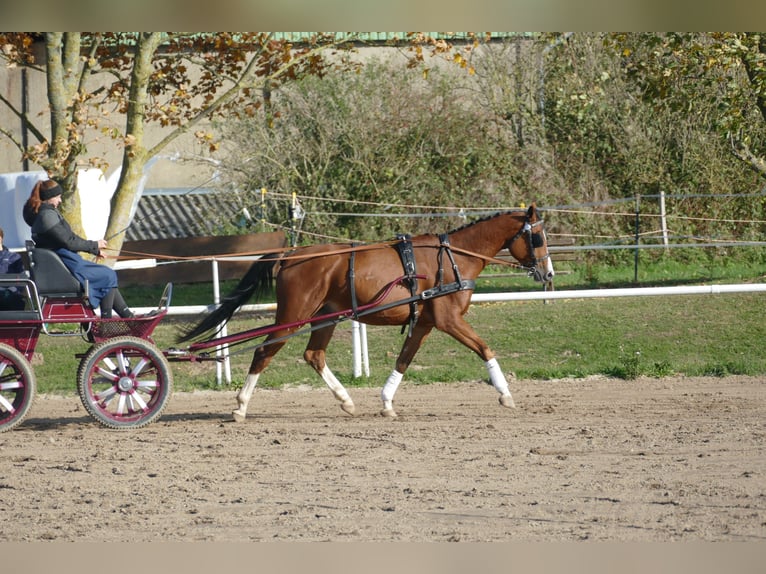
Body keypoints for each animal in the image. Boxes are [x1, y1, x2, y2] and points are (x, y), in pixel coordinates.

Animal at [179, 205, 552, 420]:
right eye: (538, 238)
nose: (548, 274)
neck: (454, 258)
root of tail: (292, 254)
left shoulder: (425, 323)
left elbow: (403, 360)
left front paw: (386, 402)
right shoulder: (449, 320)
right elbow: (485, 348)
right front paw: (506, 394)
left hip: (326, 317)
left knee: (314, 355)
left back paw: (345, 400)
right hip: (293, 316)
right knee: (263, 352)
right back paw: (241, 405)